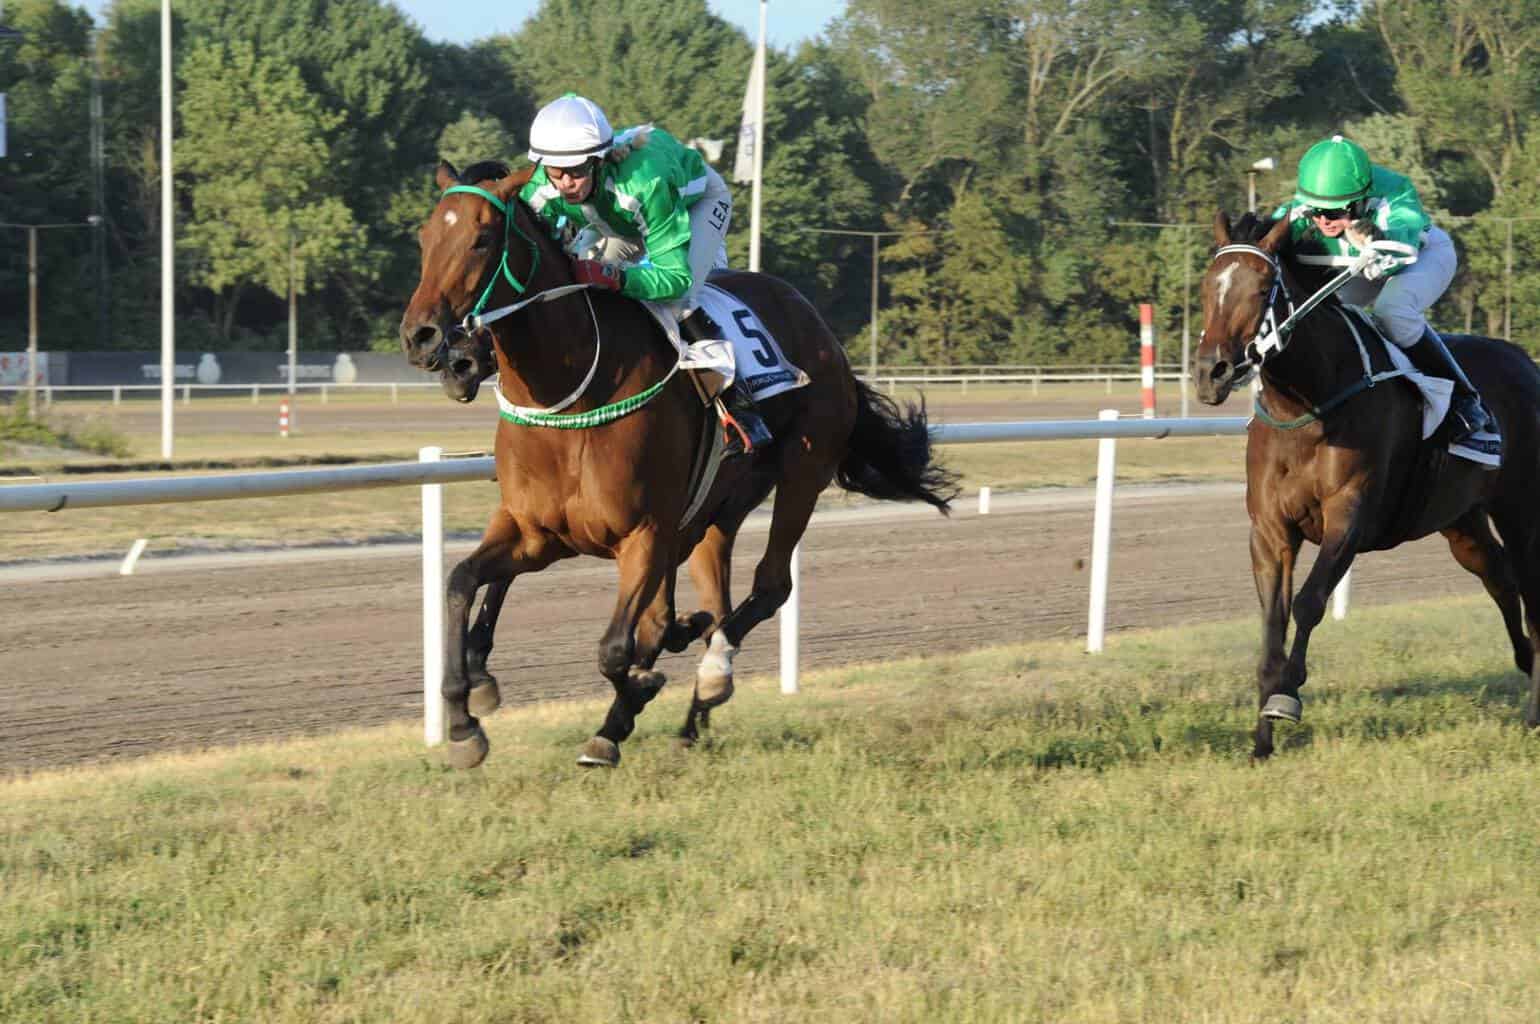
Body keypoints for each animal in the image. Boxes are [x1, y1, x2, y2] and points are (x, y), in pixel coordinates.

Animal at [397, 161, 948, 766]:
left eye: (481, 239)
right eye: (424, 237)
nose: (424, 338)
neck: (568, 394)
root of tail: (818, 325)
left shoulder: (644, 533)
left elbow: (616, 648)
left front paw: (630, 699)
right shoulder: (538, 533)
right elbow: (460, 582)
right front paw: (463, 720)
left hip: (804, 469)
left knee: (769, 585)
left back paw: (709, 676)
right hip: (715, 510)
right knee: (711, 601)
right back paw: (688, 715)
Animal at [1195, 210, 1540, 757]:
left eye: (1262, 288)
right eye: (1210, 286)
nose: (1211, 372)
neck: (1307, 404)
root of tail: (1526, 361)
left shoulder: (1349, 516)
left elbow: (1309, 601)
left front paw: (1286, 695)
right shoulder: (1269, 529)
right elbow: (1272, 622)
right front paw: (1261, 739)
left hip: (1521, 509)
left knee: (1531, 595)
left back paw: (1533, 712)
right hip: (1462, 521)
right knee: (1500, 580)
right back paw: (1524, 665)